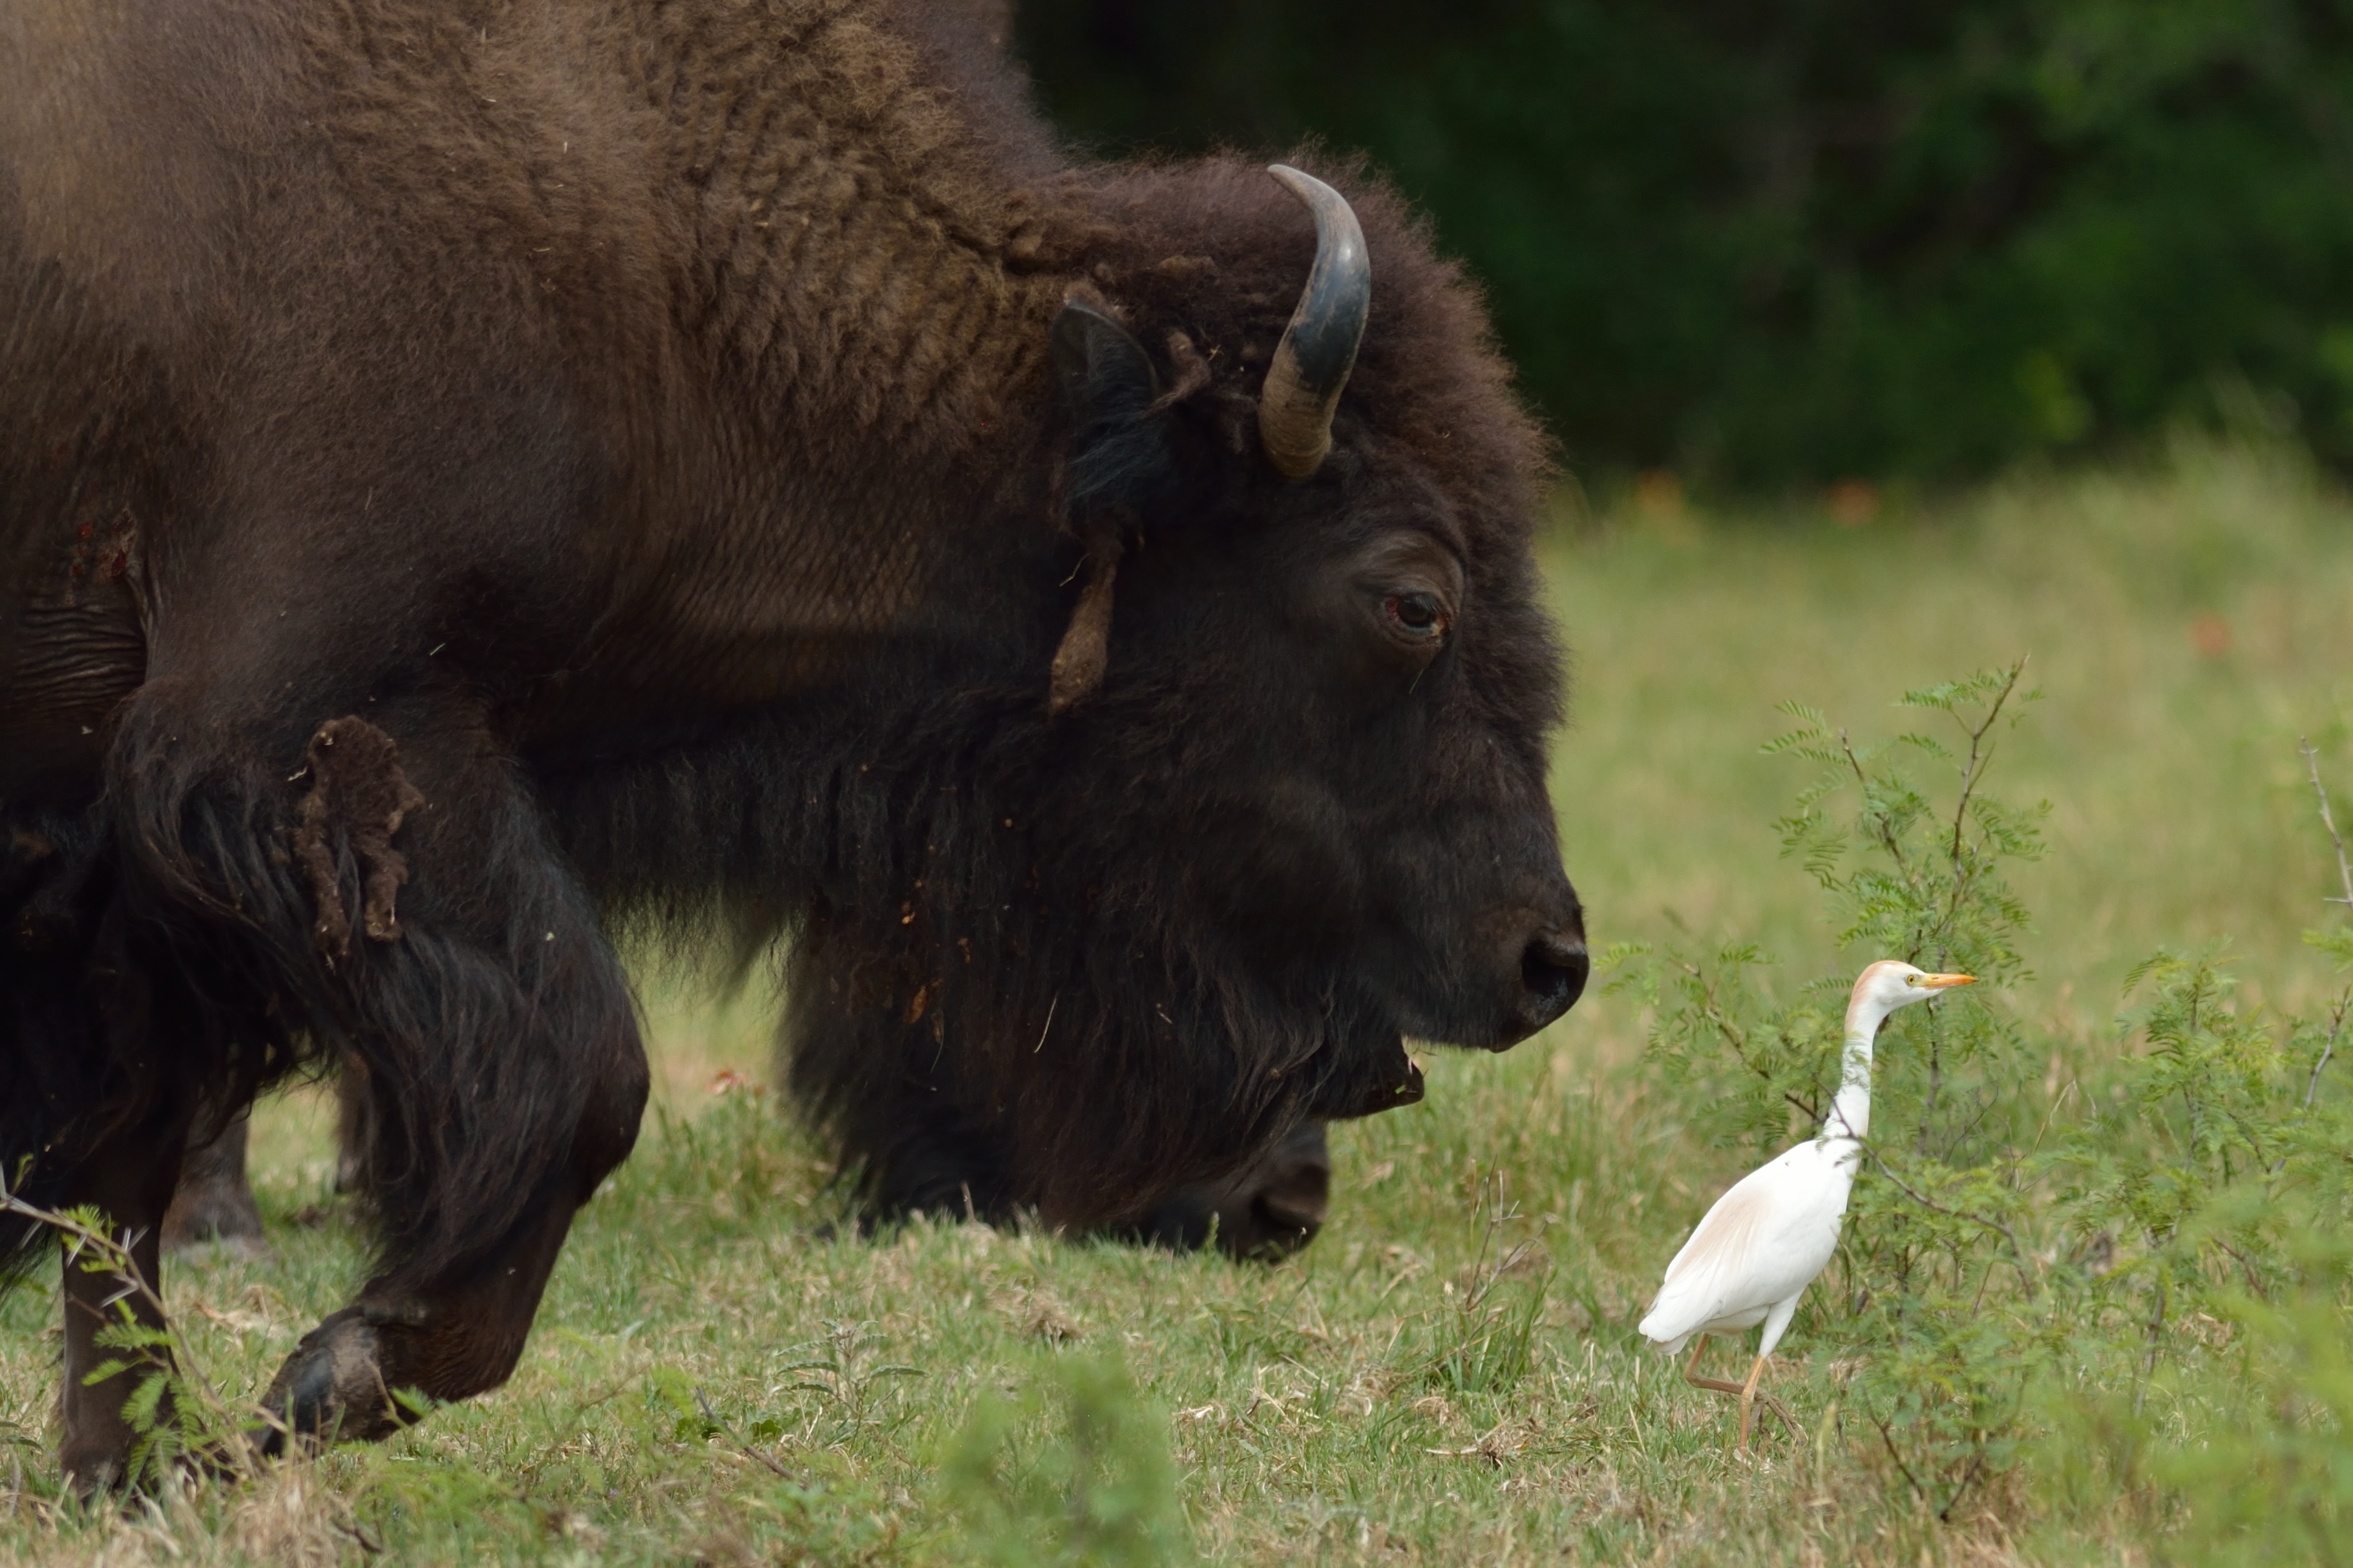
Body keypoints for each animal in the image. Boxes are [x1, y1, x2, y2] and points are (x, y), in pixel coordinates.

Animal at [0, 0, 1590, 1495]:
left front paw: (134, 1467)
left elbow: (121, 1163)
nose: (1547, 957)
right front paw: (311, 1381)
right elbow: (585, 1081)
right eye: (1412, 601)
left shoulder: (140, 844)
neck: (648, 242)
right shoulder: (307, 729)